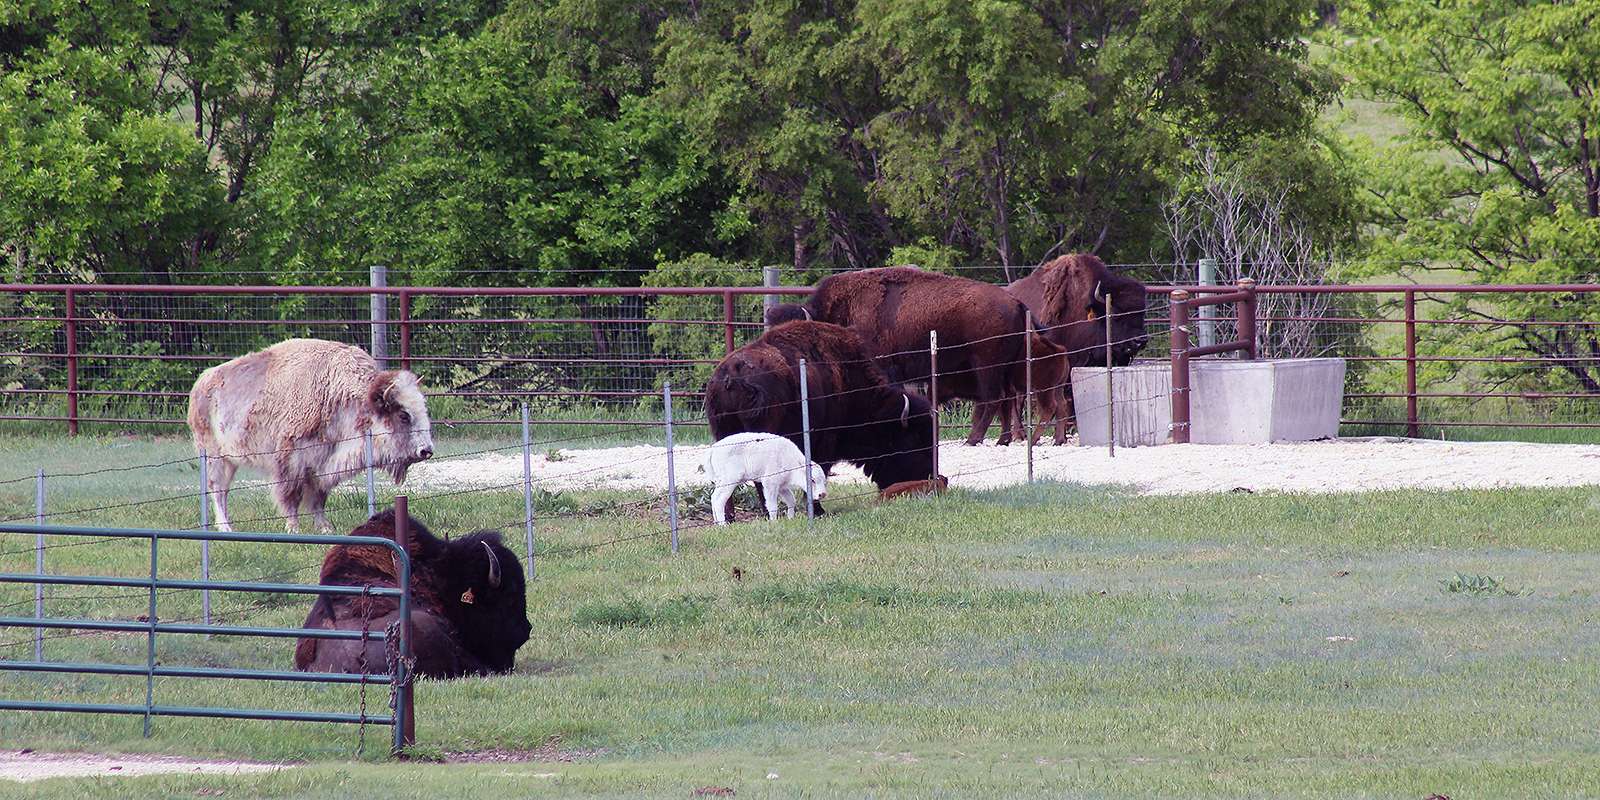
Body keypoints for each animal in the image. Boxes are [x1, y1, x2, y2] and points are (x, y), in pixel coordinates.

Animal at [187, 338, 435, 533]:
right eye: (403, 415)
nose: (427, 450)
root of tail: (201, 384)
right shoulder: (292, 462)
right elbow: (291, 497)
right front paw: (293, 528)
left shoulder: (321, 466)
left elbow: (318, 499)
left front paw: (325, 528)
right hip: (215, 457)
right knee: (218, 489)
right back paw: (226, 527)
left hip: (229, 460)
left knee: (222, 490)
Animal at [706, 320, 937, 517]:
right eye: (913, 441)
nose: (927, 477)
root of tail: (732, 378)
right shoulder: (825, 443)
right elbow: (818, 472)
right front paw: (818, 510)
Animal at [766, 267, 1035, 444]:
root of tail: (1015, 301)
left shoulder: (884, 369)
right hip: (1004, 367)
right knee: (1007, 398)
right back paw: (1002, 440)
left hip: (986, 366)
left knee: (993, 398)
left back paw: (973, 439)